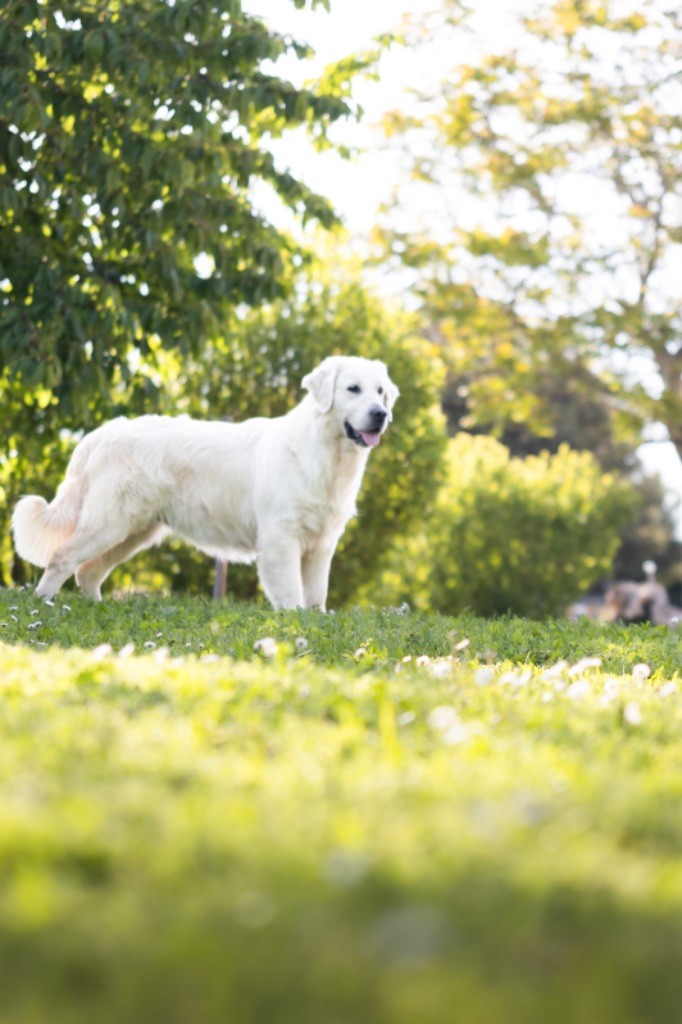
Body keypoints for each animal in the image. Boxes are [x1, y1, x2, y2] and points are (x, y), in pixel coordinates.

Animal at [11, 356, 399, 606]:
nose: (380, 414)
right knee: (62, 559)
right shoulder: (281, 538)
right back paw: (44, 605)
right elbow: (292, 595)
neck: (325, 455)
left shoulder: (321, 544)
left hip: (132, 531)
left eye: (380, 391)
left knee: (88, 572)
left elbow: (316, 596)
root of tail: (102, 433)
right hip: (109, 523)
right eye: (353, 389)